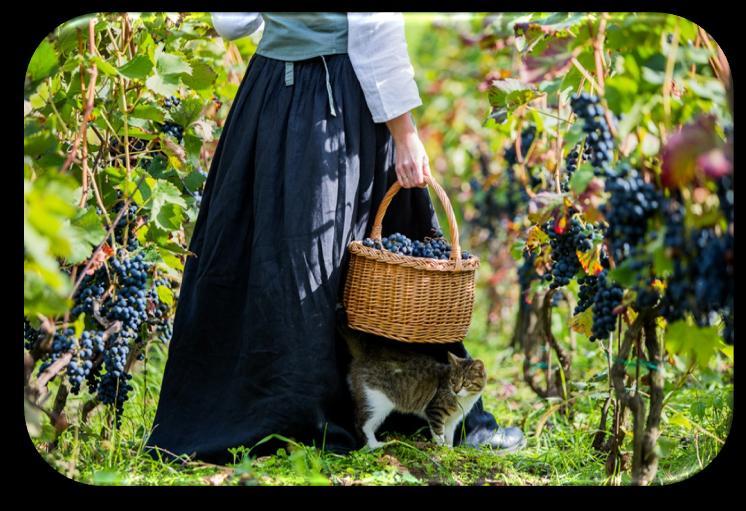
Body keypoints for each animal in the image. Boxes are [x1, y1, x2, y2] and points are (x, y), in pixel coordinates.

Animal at [338, 324, 488, 448]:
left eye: (465, 383)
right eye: (452, 381)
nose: (456, 391)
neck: (464, 400)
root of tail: (365, 354)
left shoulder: (452, 421)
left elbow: (449, 435)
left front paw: (450, 449)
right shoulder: (435, 411)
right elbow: (438, 432)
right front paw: (442, 447)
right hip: (378, 401)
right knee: (362, 424)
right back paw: (374, 445)